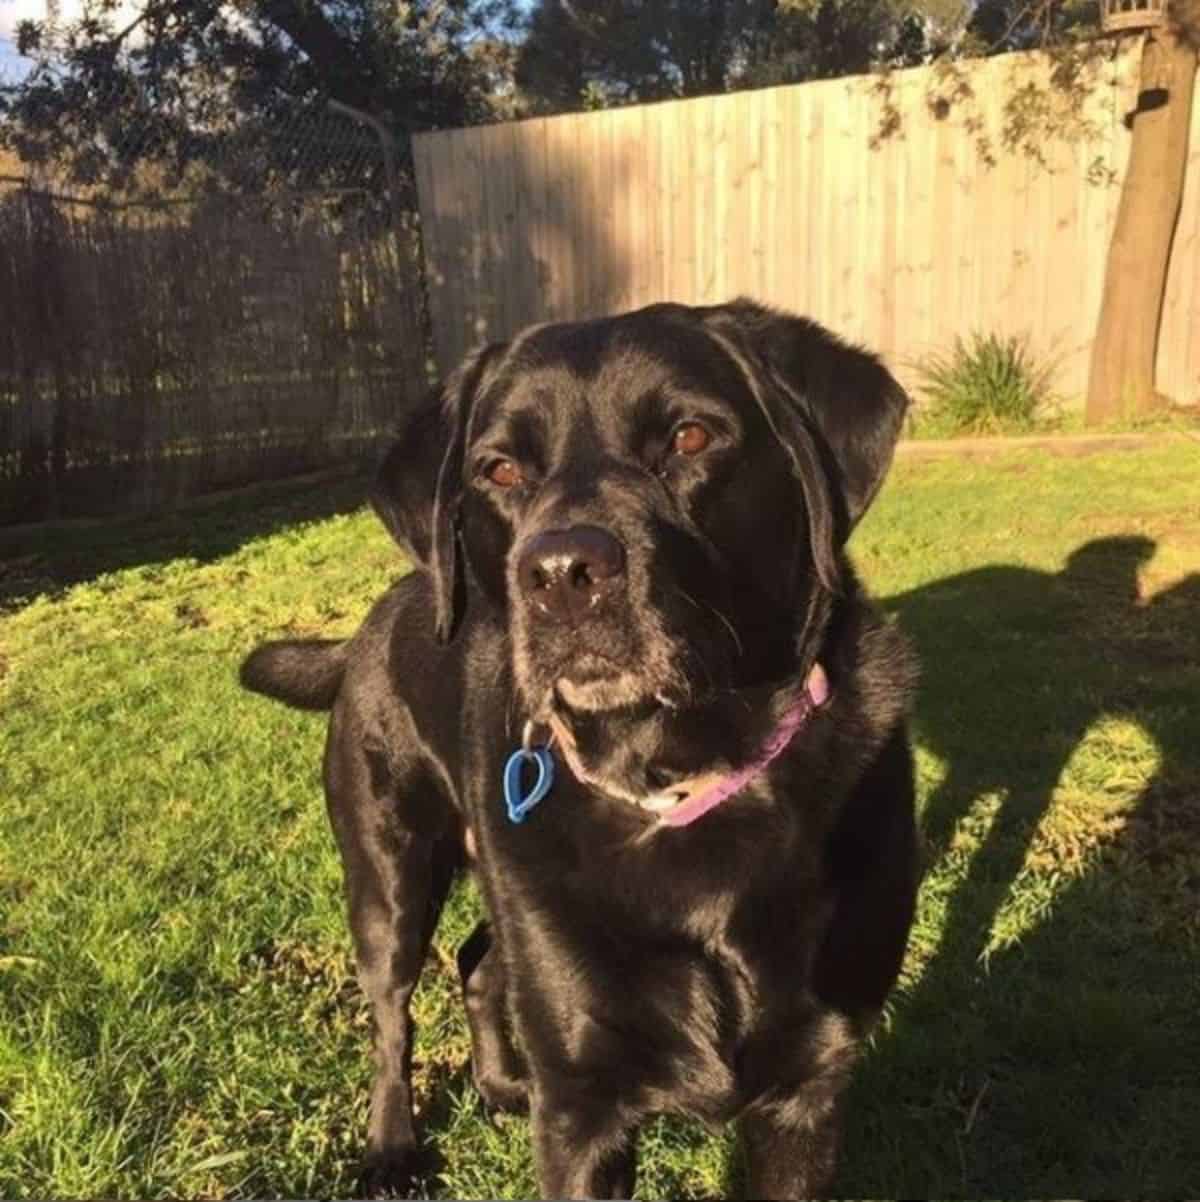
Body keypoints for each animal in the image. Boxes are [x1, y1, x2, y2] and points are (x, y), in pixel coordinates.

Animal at [241, 300, 918, 1202]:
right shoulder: (582, 1109)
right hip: (390, 874)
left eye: (691, 438)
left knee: (479, 962)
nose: (562, 572)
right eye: (498, 470)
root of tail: (366, 626)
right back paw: (392, 1148)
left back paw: (500, 1083)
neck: (674, 777)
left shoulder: (807, 1091)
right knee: (393, 1011)